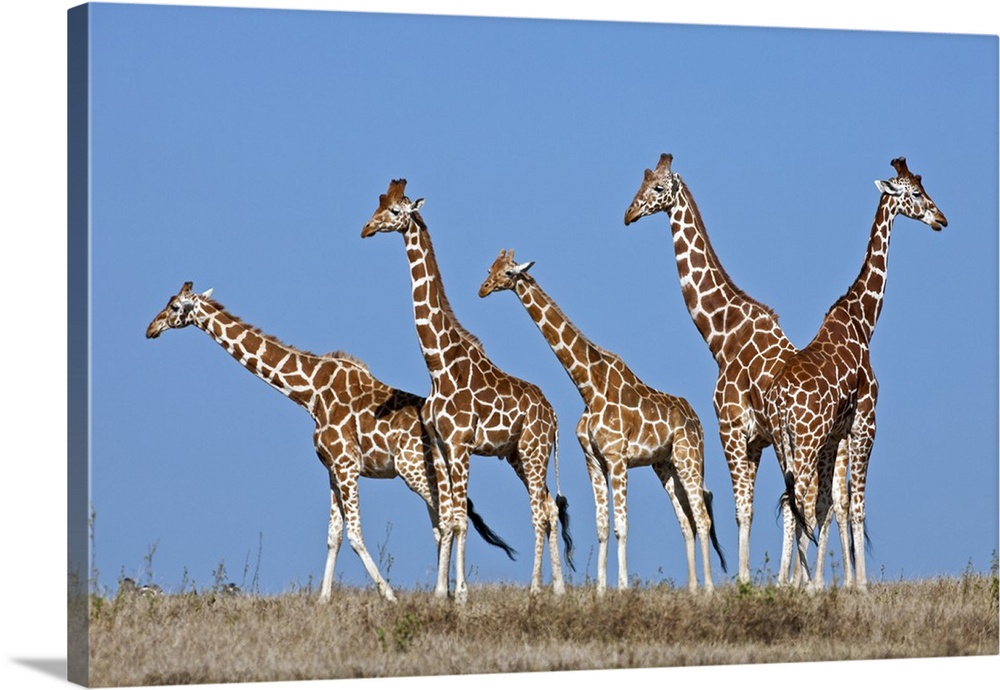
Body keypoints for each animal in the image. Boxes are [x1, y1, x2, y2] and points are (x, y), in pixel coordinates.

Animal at [145, 280, 516, 600]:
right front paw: (323, 599)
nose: (150, 329)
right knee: (442, 523)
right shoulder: (332, 470)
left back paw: (449, 592)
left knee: (447, 519)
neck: (309, 392)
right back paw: (447, 591)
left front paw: (389, 595)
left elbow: (354, 535)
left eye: (175, 306)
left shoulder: (346, 465)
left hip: (414, 470)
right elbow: (333, 537)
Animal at [364, 180, 576, 600]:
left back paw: (536, 589)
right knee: (547, 506)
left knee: (539, 512)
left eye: (395, 211)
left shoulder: (461, 444)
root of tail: (554, 415)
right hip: (515, 454)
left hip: (534, 450)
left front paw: (461, 593)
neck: (437, 365)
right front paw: (439, 593)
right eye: (376, 205)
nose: (366, 228)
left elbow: (461, 518)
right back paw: (558, 588)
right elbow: (448, 517)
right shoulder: (441, 445)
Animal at [478, 251, 728, 592]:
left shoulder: (617, 458)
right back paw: (692, 588)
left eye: (506, 272)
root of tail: (698, 422)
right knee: (686, 522)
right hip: (665, 465)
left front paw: (621, 587)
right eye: (489, 268)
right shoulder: (593, 460)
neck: (588, 386)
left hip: (688, 457)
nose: (483, 288)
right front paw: (599, 590)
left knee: (702, 519)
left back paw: (710, 590)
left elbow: (621, 525)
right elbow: (601, 526)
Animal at [764, 159, 944, 588]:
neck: (864, 320)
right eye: (916, 193)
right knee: (800, 500)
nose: (941, 219)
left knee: (794, 501)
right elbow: (857, 505)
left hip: (783, 445)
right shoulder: (866, 422)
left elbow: (831, 503)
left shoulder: (836, 435)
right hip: (806, 441)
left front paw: (822, 584)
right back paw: (799, 580)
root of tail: (778, 400)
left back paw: (789, 582)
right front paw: (858, 584)